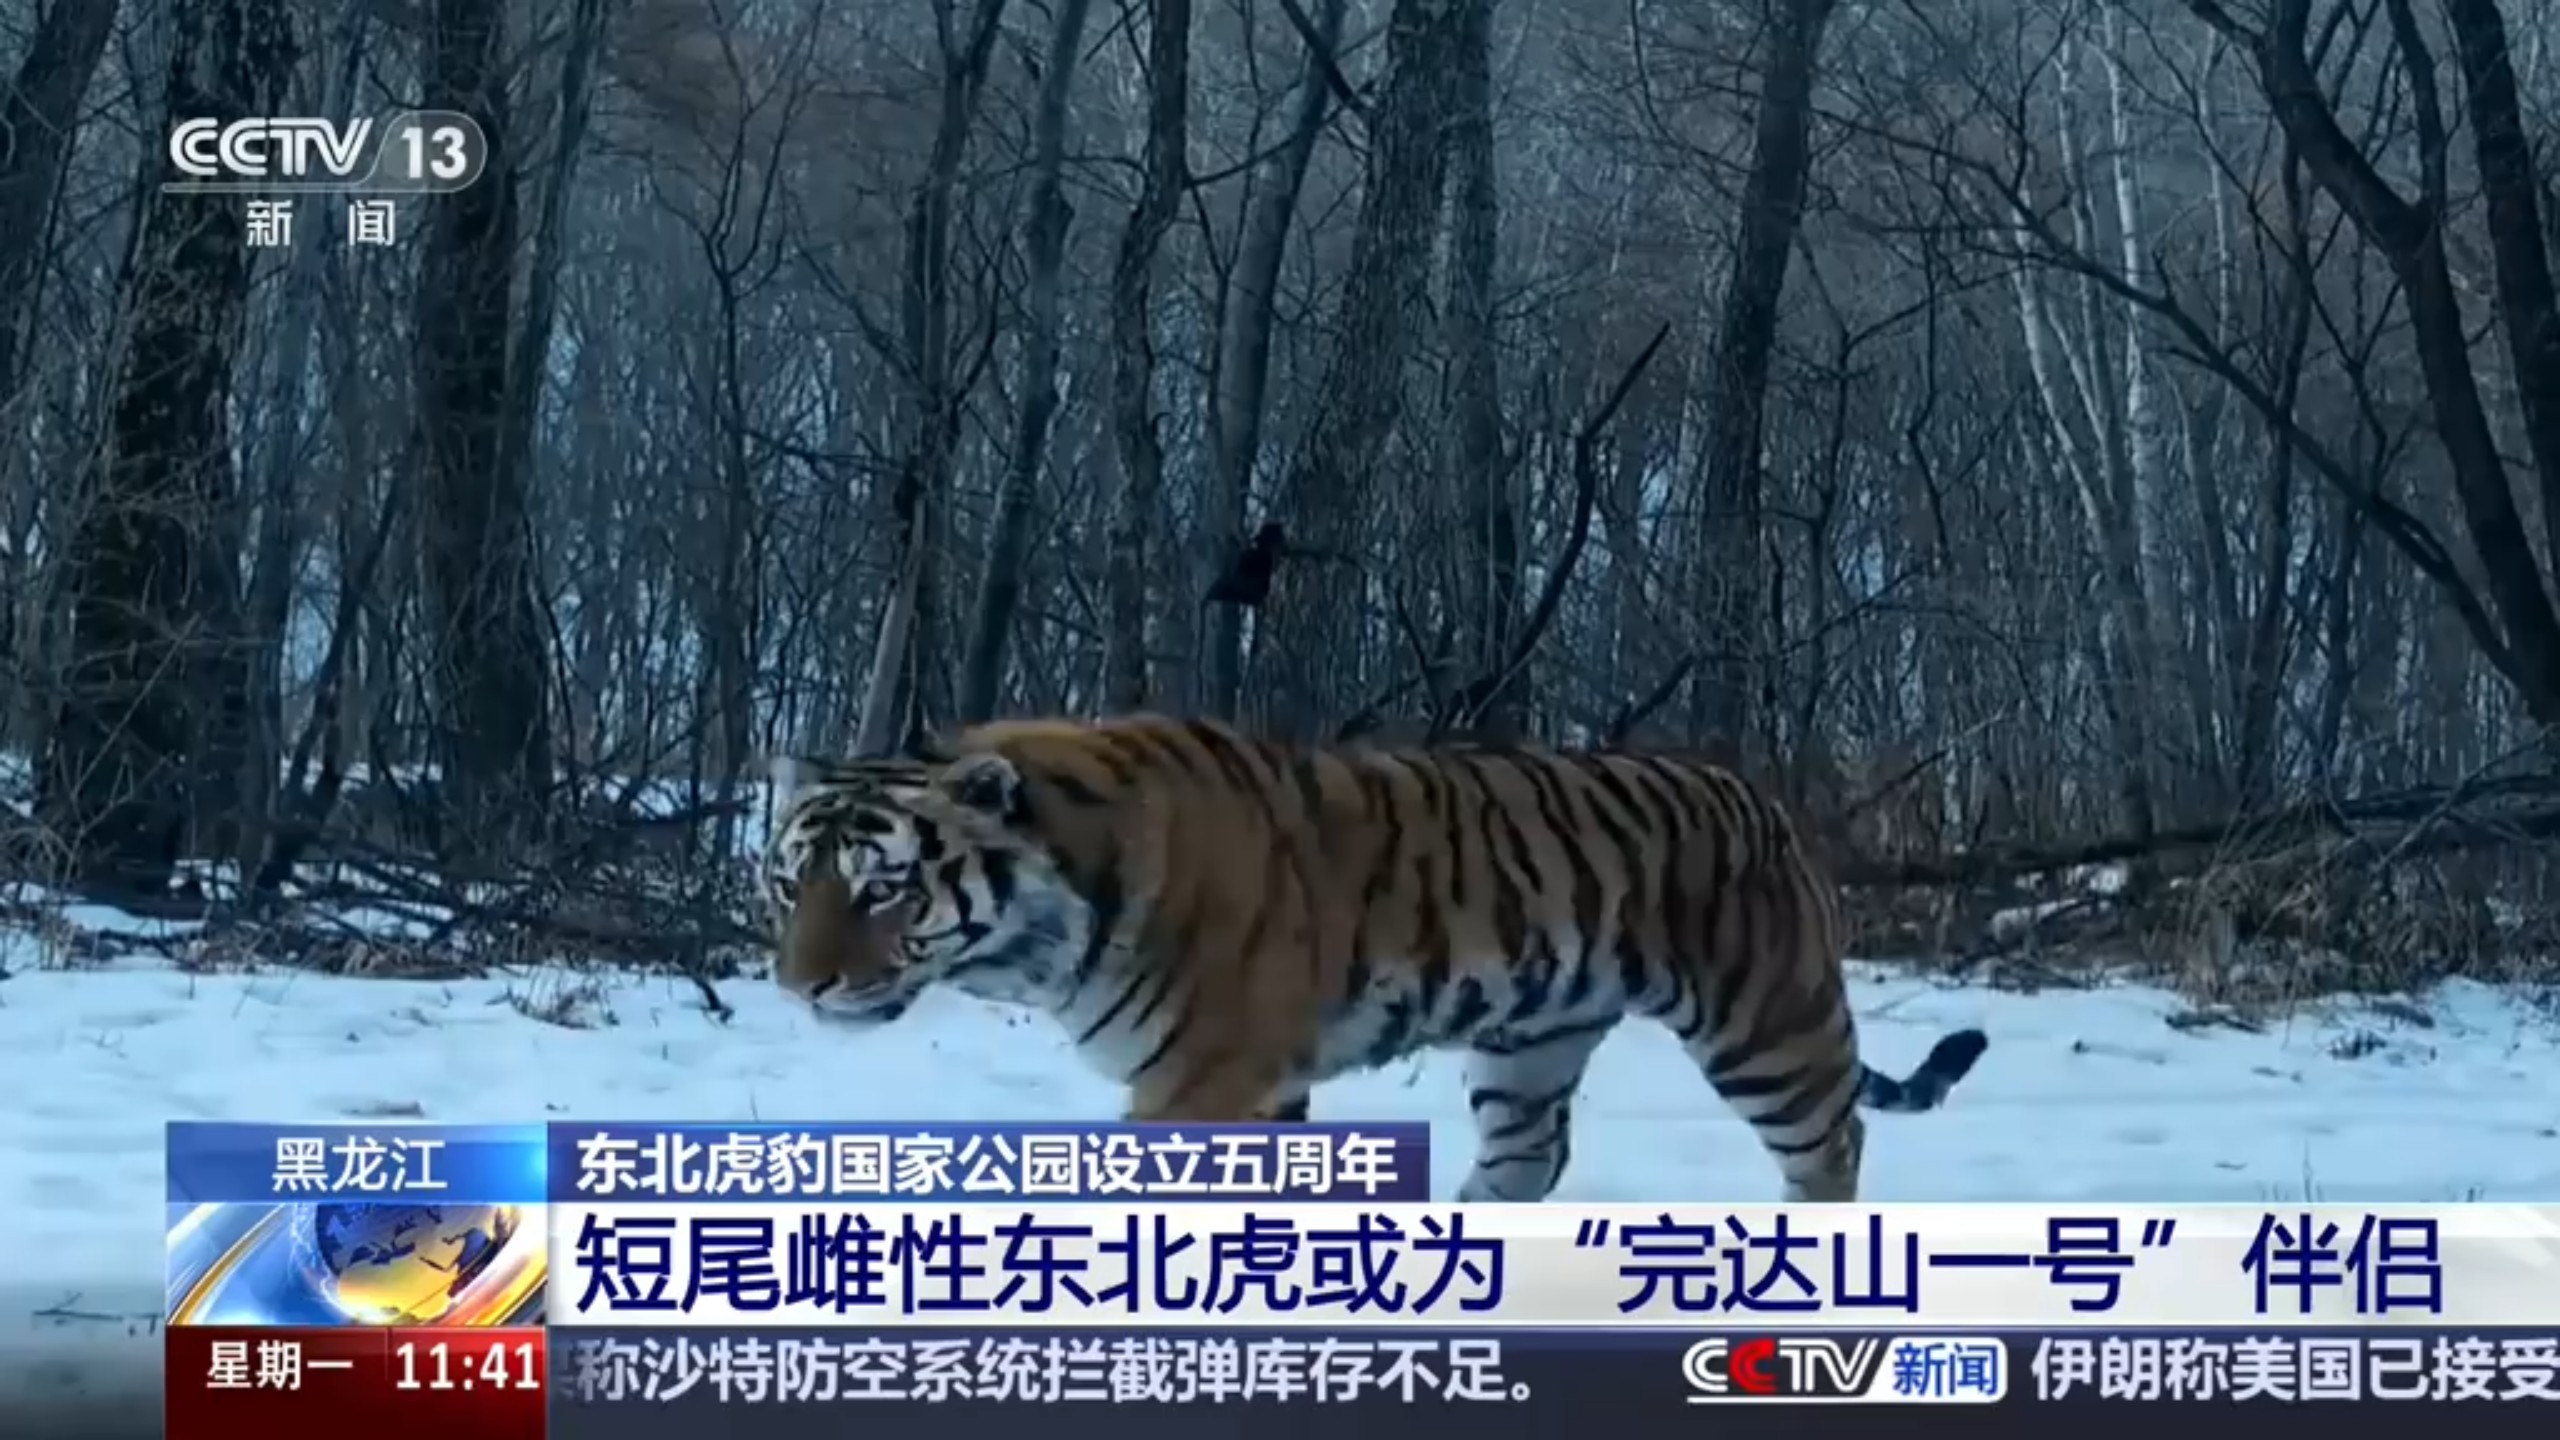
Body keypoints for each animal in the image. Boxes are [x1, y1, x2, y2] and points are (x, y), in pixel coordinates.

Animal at [759, 714, 1988, 1202]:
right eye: (790, 884)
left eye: (882, 887)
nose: (797, 987)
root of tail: (1760, 797)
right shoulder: (1251, 1085)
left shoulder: (1200, 1084)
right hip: (1530, 1045)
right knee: (1527, 1160)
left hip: (1765, 1028)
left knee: (1833, 1147)